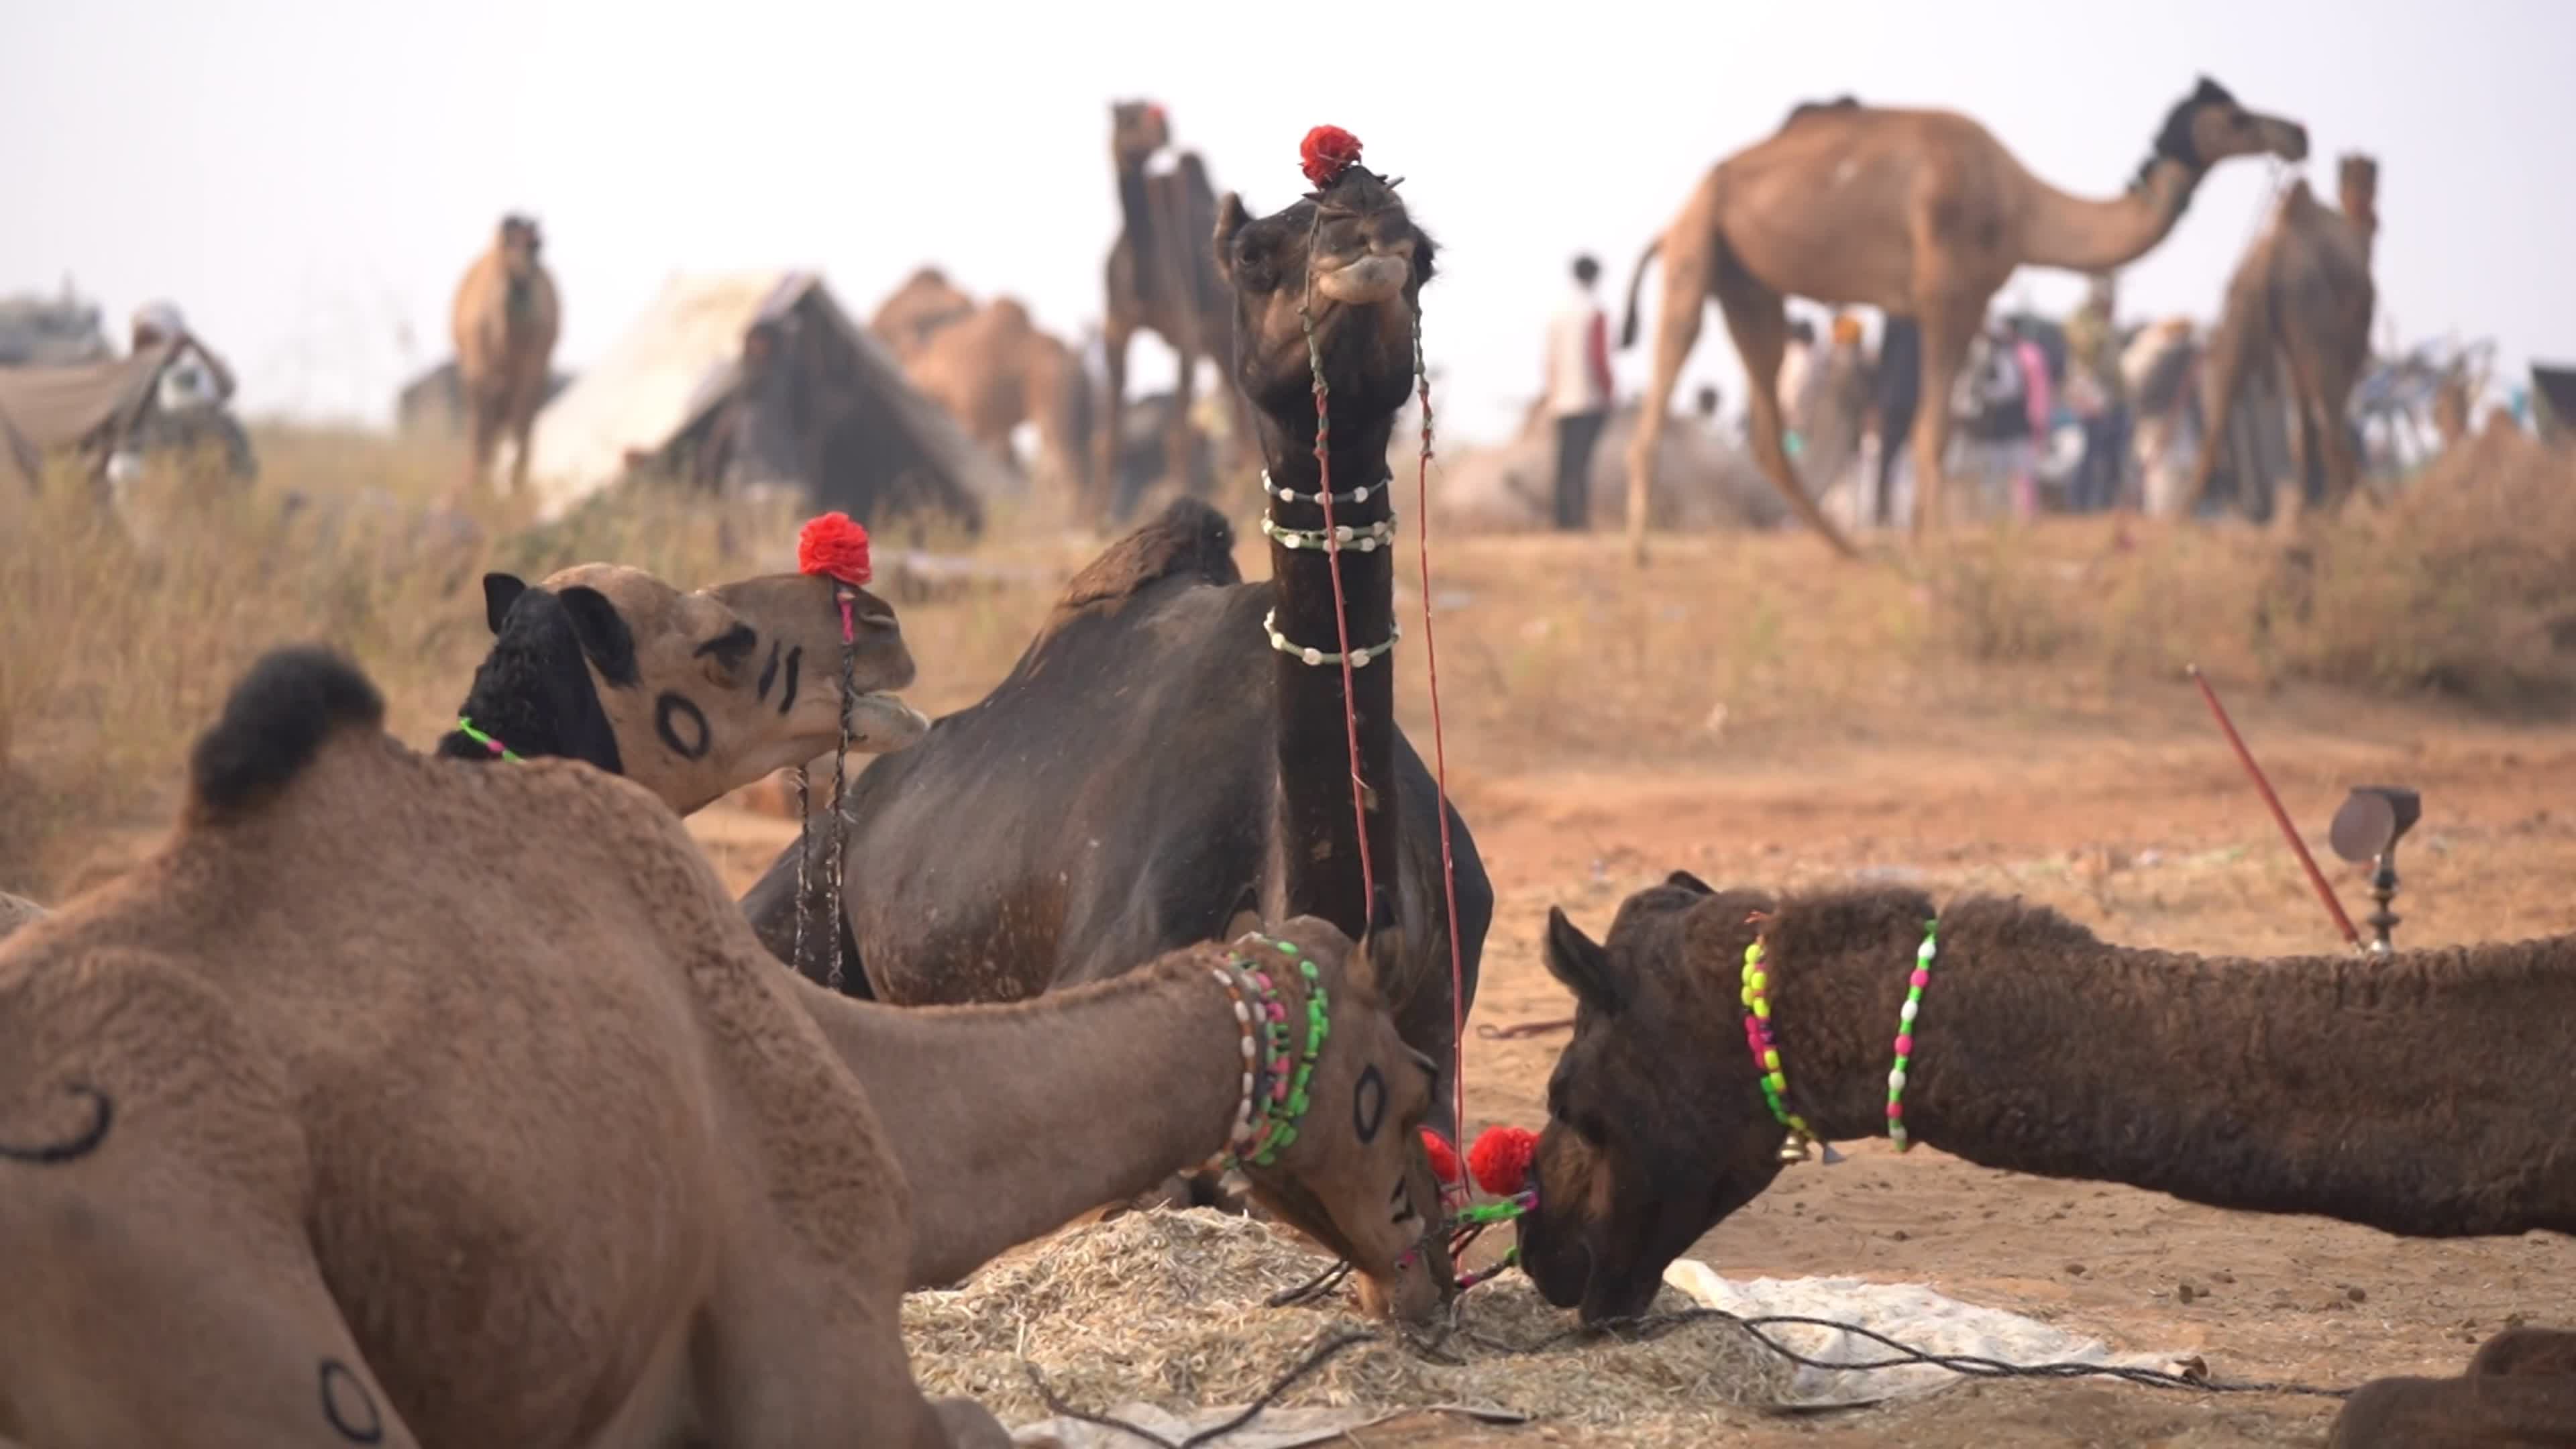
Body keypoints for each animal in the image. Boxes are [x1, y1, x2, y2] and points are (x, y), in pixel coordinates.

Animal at [449, 213, 562, 498]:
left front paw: (513, 484)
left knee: (517, 422)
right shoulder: (479, 373)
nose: (524, 282)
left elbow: (520, 421)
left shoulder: (532, 368)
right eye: (506, 244)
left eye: (537, 244)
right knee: (484, 426)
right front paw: (480, 485)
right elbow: (482, 427)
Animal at [1095, 100, 1255, 523]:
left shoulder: (1185, 335)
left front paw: (1179, 493)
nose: (1162, 128)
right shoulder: (1116, 331)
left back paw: (1245, 494)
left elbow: (1179, 431)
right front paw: (1098, 517)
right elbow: (1112, 430)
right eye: (1128, 118)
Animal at [1618, 78, 2309, 561]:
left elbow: (1941, 432)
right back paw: (1639, 552)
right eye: (2236, 117)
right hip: (1695, 251)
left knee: (1765, 432)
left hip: (1749, 287)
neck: (2022, 208)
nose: (2297, 133)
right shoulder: (1944, 295)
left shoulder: (1971, 304)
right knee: (1662, 390)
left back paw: (1855, 553)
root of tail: (1672, 221)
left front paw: (1924, 548)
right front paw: (1938, 555)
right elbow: (1932, 434)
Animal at [2188, 154, 2381, 525]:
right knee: (2330, 408)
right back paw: (2364, 495)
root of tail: (2271, 256)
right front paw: (2329, 502)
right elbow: (2329, 402)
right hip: (2306, 301)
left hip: (2240, 307)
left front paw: (2312, 505)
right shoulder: (2353, 332)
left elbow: (2304, 413)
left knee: (2218, 414)